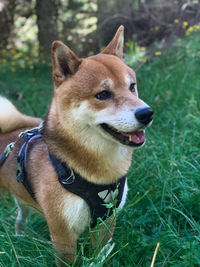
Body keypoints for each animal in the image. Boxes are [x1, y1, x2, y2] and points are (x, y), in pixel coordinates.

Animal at [0, 26, 153, 266]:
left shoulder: (106, 220)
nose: (147, 113)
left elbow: (99, 256)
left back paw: (19, 237)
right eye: (103, 94)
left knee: (20, 217)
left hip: (23, 200)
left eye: (132, 87)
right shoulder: (62, 233)